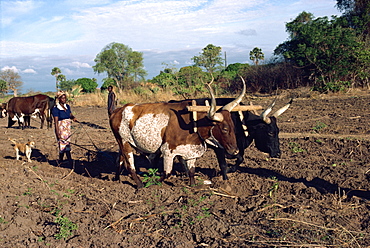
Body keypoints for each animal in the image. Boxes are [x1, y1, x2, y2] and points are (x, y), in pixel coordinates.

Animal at [110, 78, 246, 188]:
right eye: (224, 129)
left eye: (233, 127)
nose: (235, 151)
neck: (193, 123)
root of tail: (117, 111)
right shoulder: (167, 151)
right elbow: (167, 173)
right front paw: (153, 183)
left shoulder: (191, 152)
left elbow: (191, 171)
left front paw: (193, 187)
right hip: (124, 142)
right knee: (130, 166)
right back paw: (140, 185)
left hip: (125, 143)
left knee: (120, 160)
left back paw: (117, 179)